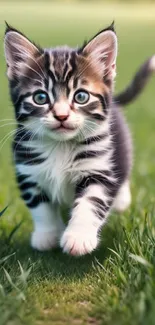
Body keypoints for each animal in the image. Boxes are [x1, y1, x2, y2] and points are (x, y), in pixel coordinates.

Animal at [3, 22, 155, 256]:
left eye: (81, 96)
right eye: (40, 97)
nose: (61, 116)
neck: (60, 146)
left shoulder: (97, 168)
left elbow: (90, 202)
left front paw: (78, 237)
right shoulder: (28, 171)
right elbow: (41, 208)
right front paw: (47, 236)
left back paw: (121, 200)